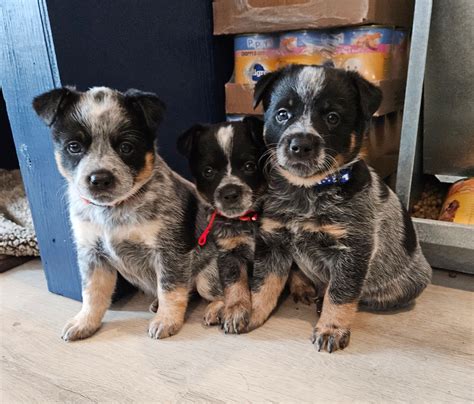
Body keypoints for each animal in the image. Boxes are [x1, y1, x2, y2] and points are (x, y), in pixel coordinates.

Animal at [32, 87, 224, 340]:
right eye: (74, 146)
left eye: (126, 147)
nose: (99, 179)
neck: (112, 212)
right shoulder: (92, 254)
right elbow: (91, 294)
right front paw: (84, 322)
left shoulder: (169, 252)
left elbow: (170, 288)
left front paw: (166, 320)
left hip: (206, 276)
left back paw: (215, 310)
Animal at [178, 117, 266, 334]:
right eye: (208, 171)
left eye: (250, 165)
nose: (230, 193)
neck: (246, 220)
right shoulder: (229, 252)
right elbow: (234, 285)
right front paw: (235, 310)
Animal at [248, 65, 434, 350]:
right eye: (282, 114)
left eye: (332, 117)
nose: (300, 145)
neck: (306, 191)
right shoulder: (272, 240)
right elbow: (264, 283)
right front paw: (248, 312)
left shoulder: (353, 249)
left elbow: (341, 294)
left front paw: (331, 328)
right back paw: (302, 285)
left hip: (411, 282)